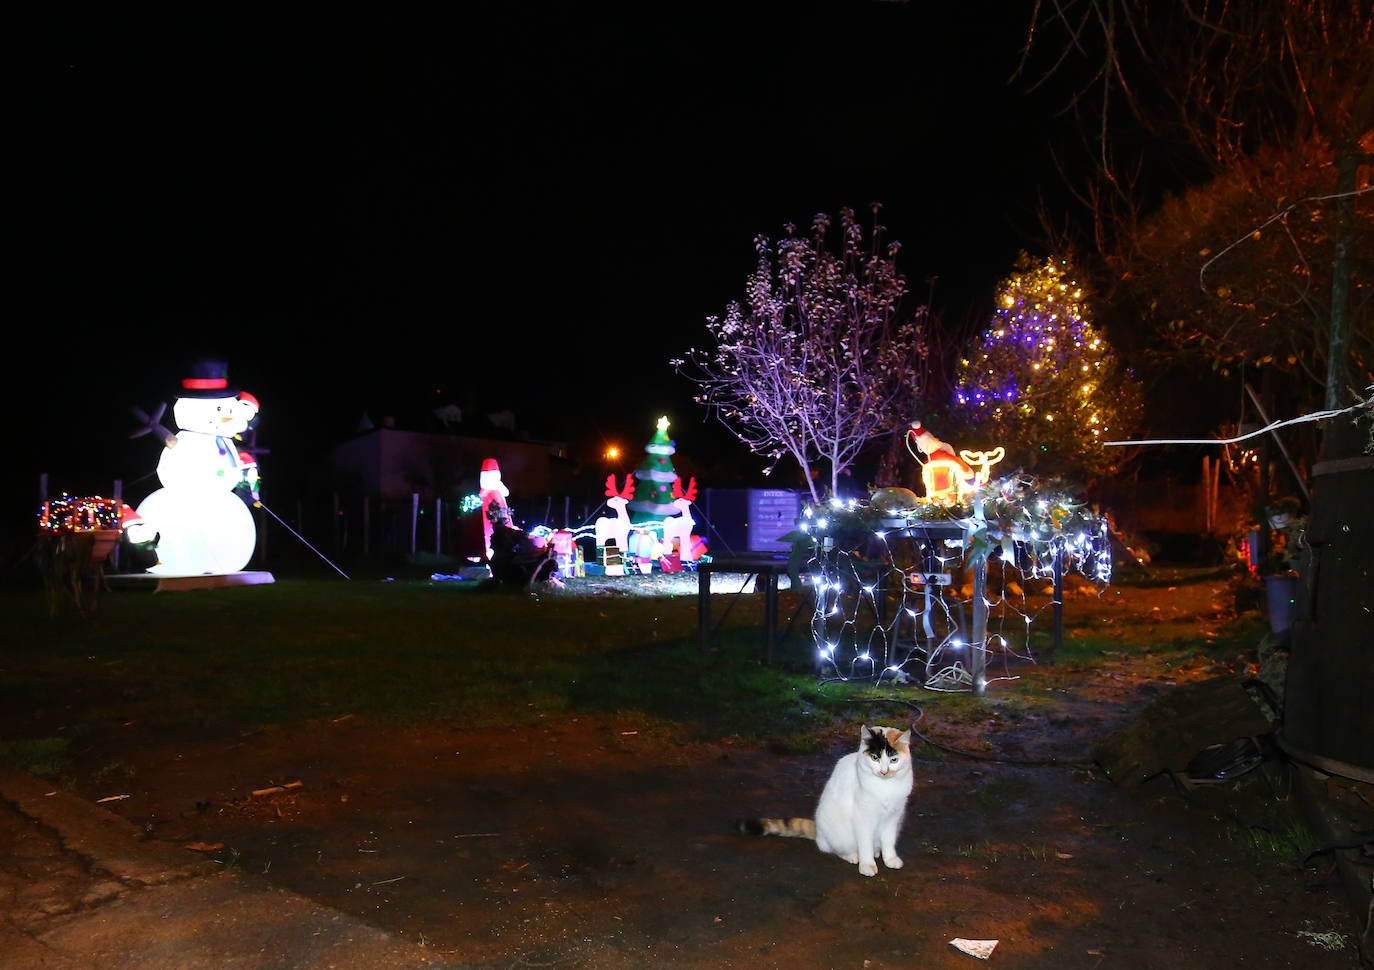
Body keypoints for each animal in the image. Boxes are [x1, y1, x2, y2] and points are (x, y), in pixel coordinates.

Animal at [741, 719, 912, 873]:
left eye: (894, 760)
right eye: (875, 758)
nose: (884, 771)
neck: (885, 786)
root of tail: (818, 831)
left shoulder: (893, 817)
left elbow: (888, 841)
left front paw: (890, 859)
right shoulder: (863, 818)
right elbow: (865, 844)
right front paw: (867, 865)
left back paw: (877, 852)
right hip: (837, 833)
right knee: (832, 849)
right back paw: (852, 855)